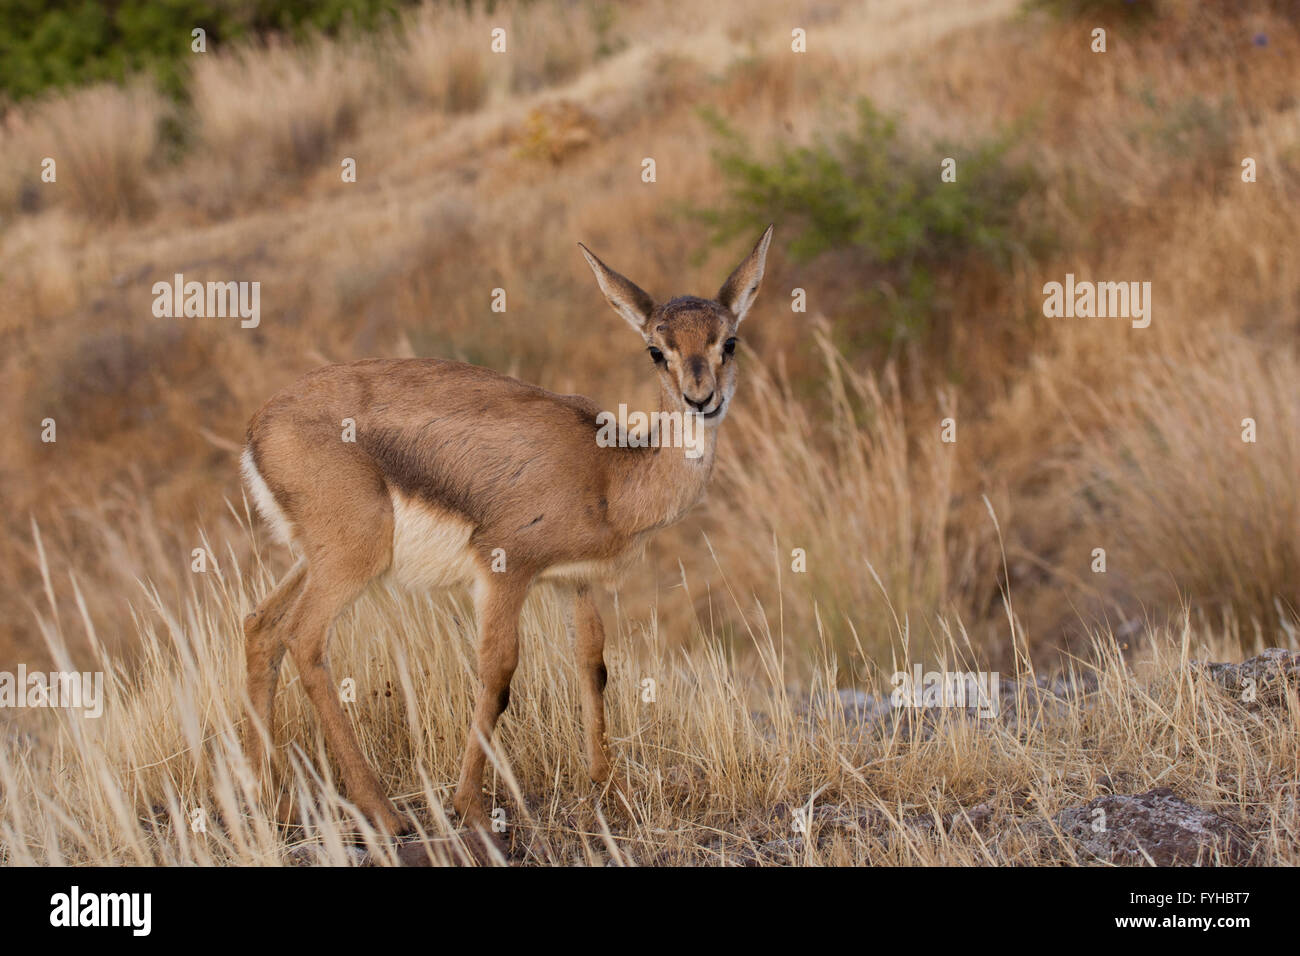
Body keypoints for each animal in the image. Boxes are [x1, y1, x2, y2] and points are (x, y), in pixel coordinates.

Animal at [240, 226, 773, 837]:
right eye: (656, 350)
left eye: (729, 341)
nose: (701, 400)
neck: (609, 473)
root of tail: (258, 426)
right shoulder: (504, 569)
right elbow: (497, 674)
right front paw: (469, 805)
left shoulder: (572, 581)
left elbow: (593, 665)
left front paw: (608, 784)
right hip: (352, 560)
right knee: (303, 639)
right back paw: (383, 812)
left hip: (317, 558)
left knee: (261, 627)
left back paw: (266, 799)